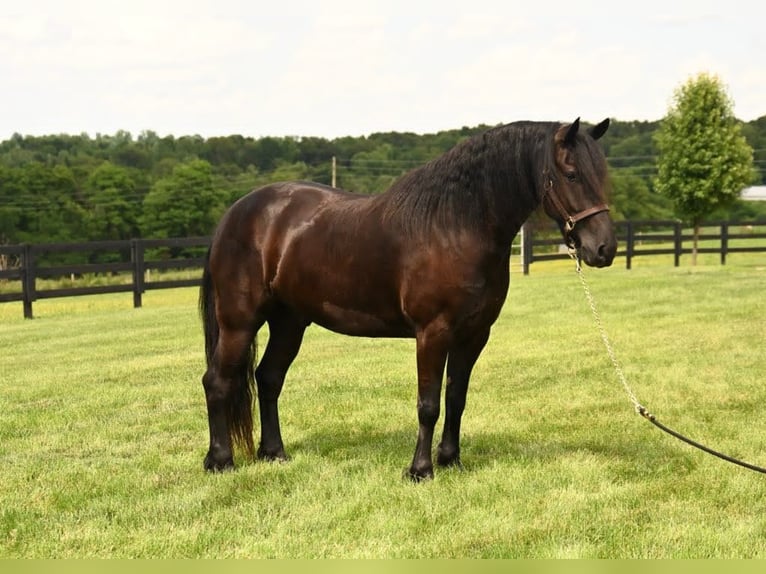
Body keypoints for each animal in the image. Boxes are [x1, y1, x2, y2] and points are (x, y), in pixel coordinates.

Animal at [199, 117, 617, 481]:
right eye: (572, 174)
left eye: (602, 174)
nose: (604, 248)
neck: (455, 225)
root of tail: (234, 214)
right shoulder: (432, 332)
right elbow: (428, 404)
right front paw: (420, 470)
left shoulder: (474, 334)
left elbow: (456, 398)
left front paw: (451, 461)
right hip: (239, 322)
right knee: (217, 381)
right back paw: (220, 461)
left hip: (289, 322)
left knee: (268, 378)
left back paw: (274, 453)